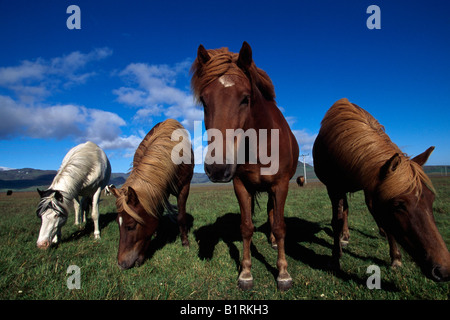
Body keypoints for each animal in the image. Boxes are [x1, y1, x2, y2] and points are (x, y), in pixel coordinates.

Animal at [190, 40, 298, 290]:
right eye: (204, 101)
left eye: (245, 98)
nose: (217, 168)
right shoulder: (240, 185)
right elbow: (246, 227)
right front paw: (246, 272)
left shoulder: (280, 185)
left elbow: (280, 226)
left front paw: (283, 273)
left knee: (273, 214)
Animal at [312, 99, 450, 282]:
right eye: (398, 204)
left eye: (432, 198)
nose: (443, 270)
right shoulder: (334, 188)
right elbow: (337, 221)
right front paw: (335, 257)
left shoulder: (373, 186)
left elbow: (380, 216)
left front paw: (396, 257)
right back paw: (344, 237)